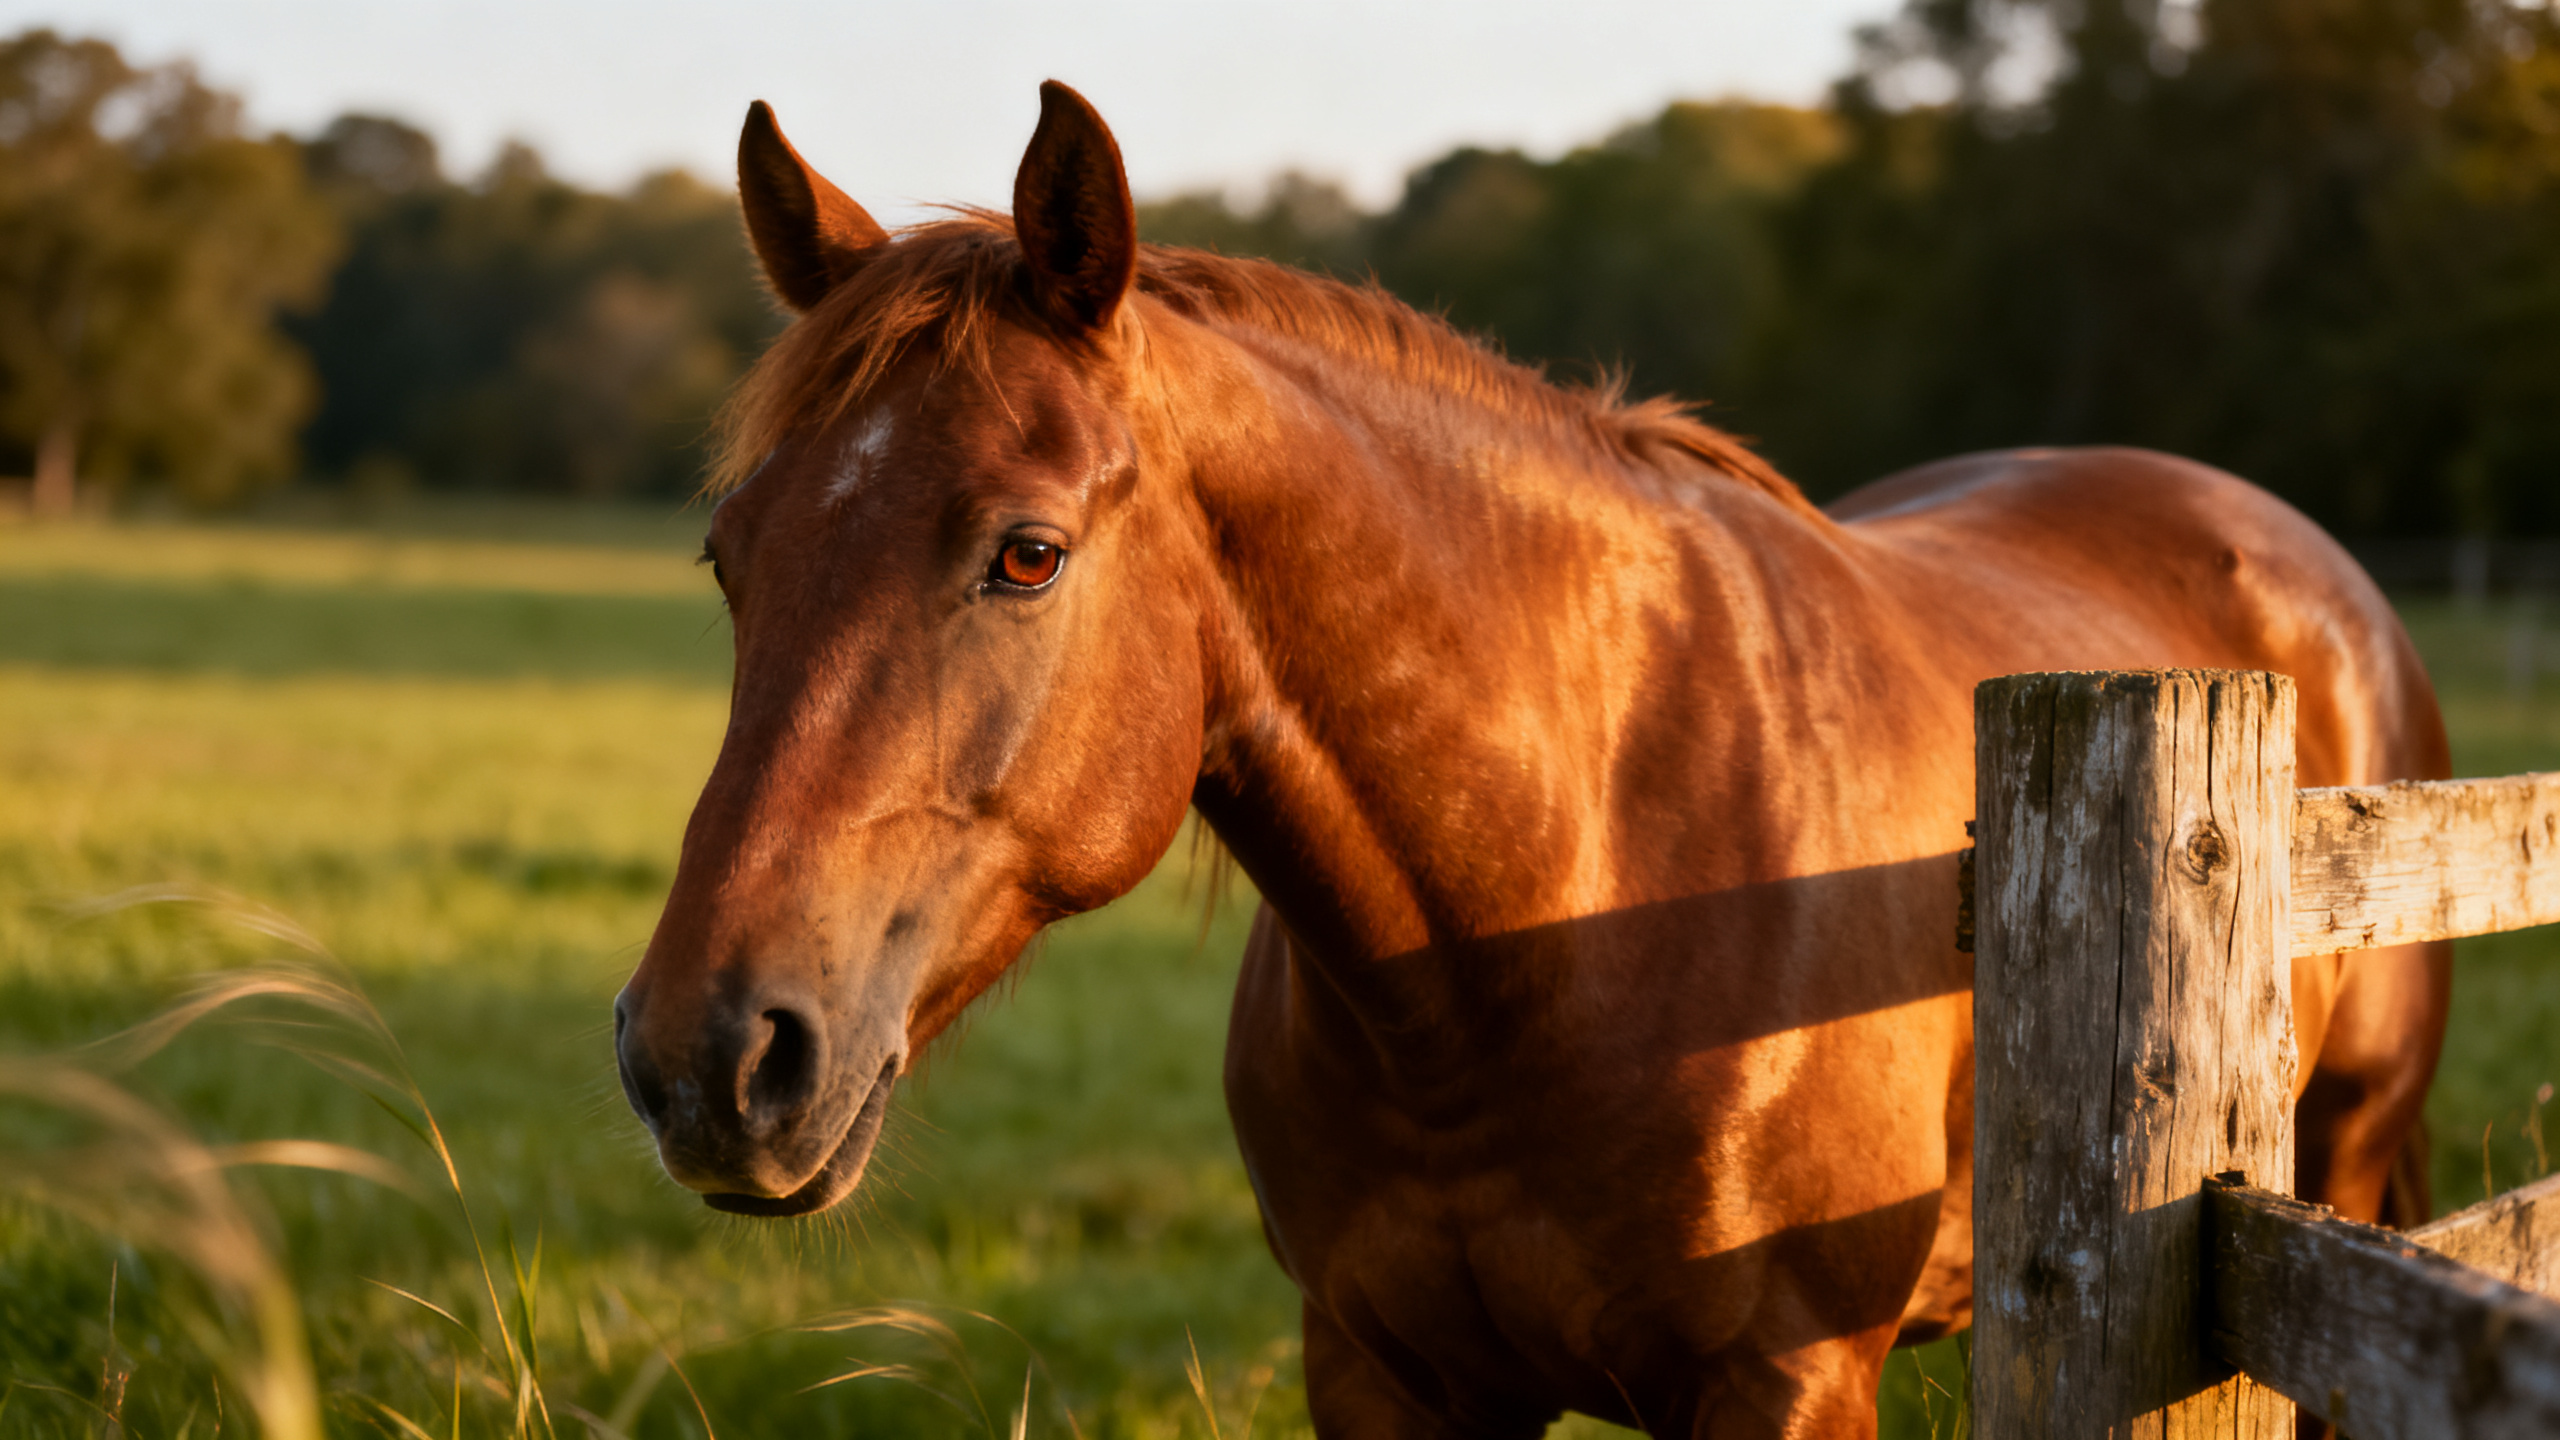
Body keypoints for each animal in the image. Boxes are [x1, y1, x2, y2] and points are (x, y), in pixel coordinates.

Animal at [611, 83, 2451, 1437]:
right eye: (728, 555)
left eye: (1027, 554)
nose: (707, 1057)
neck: (1568, 901)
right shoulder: (1385, 1377)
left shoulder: (1782, 1387)